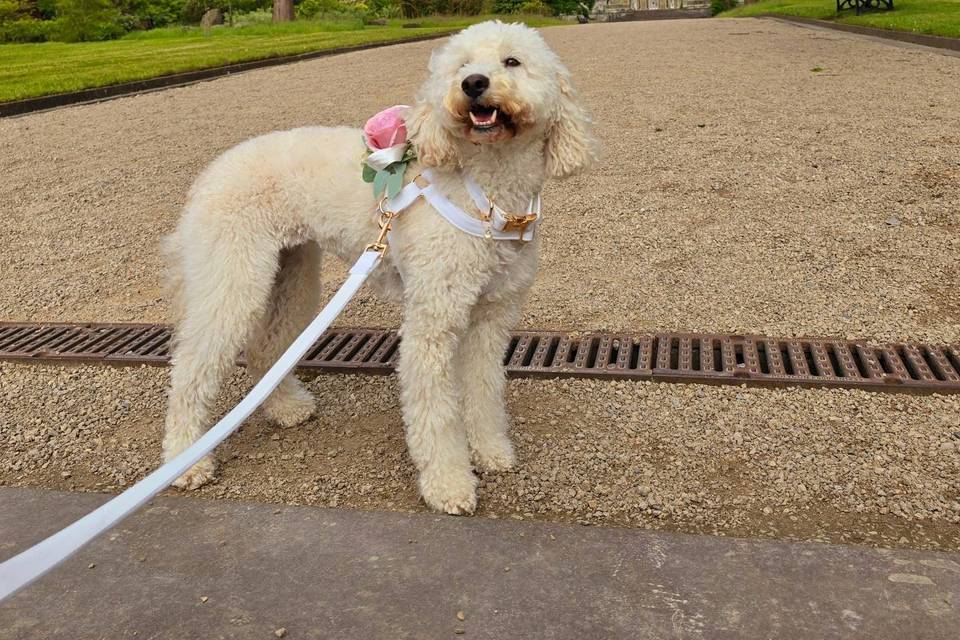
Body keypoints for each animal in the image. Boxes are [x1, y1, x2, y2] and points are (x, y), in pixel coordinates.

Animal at [164, 21, 596, 516]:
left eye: (512, 62)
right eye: (462, 65)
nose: (473, 84)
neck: (485, 191)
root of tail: (210, 174)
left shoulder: (492, 316)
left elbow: (484, 390)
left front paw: (490, 452)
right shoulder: (433, 320)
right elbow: (435, 413)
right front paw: (448, 485)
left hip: (292, 274)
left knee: (266, 347)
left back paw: (287, 407)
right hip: (233, 276)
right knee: (191, 368)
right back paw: (185, 461)